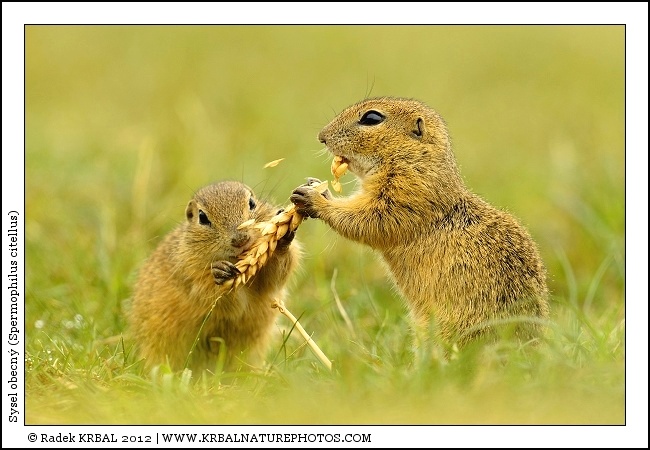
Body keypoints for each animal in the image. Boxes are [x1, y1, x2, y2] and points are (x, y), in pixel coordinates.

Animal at [129, 181, 301, 373]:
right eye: (202, 217)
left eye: (251, 203)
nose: (240, 239)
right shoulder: (191, 276)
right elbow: (217, 298)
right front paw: (219, 271)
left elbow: (274, 278)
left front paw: (282, 236)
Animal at [291, 97, 550, 347]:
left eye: (371, 118)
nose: (322, 137)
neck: (414, 160)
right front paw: (318, 188)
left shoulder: (406, 194)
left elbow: (369, 220)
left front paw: (314, 199)